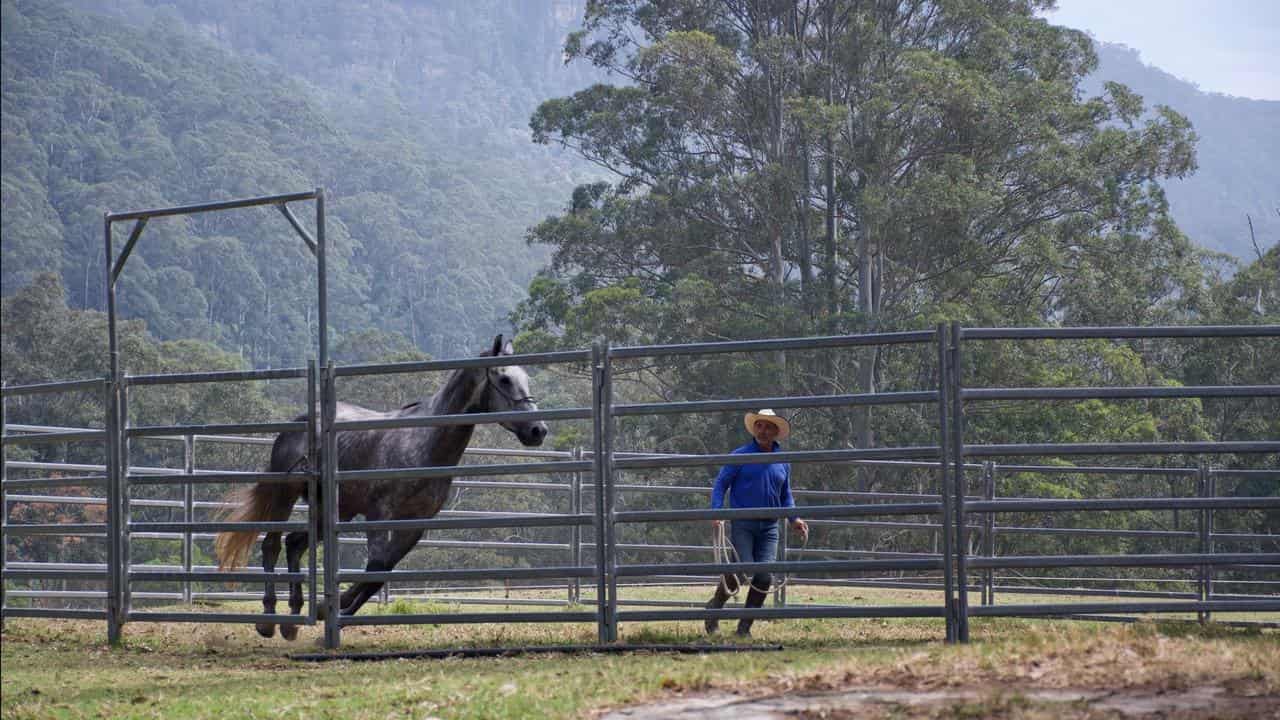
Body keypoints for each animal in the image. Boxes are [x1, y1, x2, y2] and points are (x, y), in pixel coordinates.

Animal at [215, 333, 545, 635]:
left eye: (526, 378)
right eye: (504, 379)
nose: (538, 430)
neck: (423, 442)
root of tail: (296, 424)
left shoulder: (415, 522)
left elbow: (381, 571)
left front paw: (338, 608)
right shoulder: (379, 513)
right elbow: (374, 566)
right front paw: (328, 607)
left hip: (332, 510)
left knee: (294, 544)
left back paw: (294, 617)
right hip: (285, 494)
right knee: (271, 545)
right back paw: (268, 619)